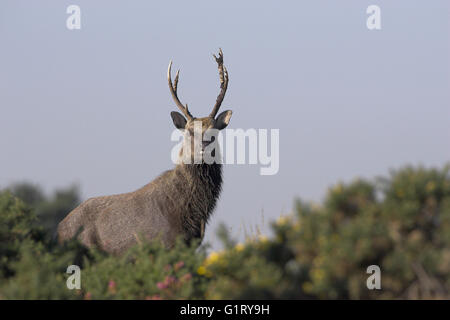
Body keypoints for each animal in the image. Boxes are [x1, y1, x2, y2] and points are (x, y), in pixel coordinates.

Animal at [56, 49, 232, 255]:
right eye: (189, 131)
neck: (192, 214)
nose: (204, 146)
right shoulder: (164, 243)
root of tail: (58, 231)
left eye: (214, 131)